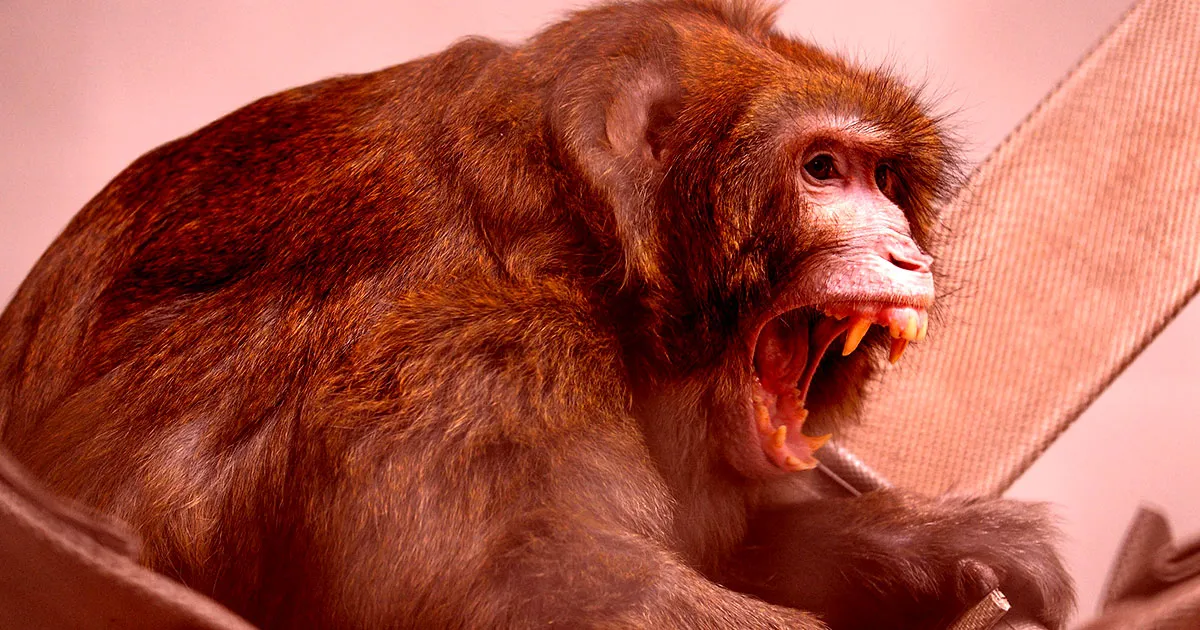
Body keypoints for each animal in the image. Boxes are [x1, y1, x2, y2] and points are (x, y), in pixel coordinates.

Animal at [0, 0, 1074, 628]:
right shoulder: (475, 356)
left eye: (886, 180)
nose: (907, 252)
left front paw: (931, 542)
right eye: (823, 170)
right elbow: (551, 594)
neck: (575, 237)